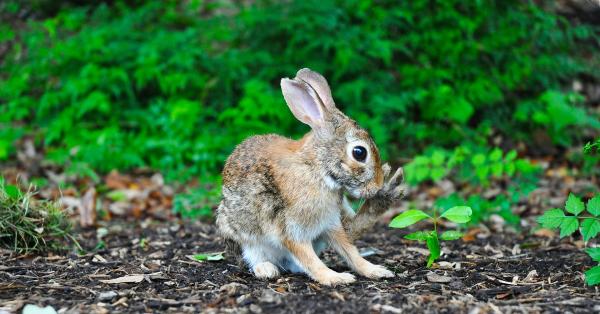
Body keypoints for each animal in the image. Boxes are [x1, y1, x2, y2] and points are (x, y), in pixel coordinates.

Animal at [216, 67, 404, 286]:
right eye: (359, 152)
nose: (376, 186)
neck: (317, 169)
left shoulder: (330, 223)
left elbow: (350, 251)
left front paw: (375, 271)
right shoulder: (291, 230)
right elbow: (310, 259)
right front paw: (335, 277)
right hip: (243, 236)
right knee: (256, 257)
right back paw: (267, 269)